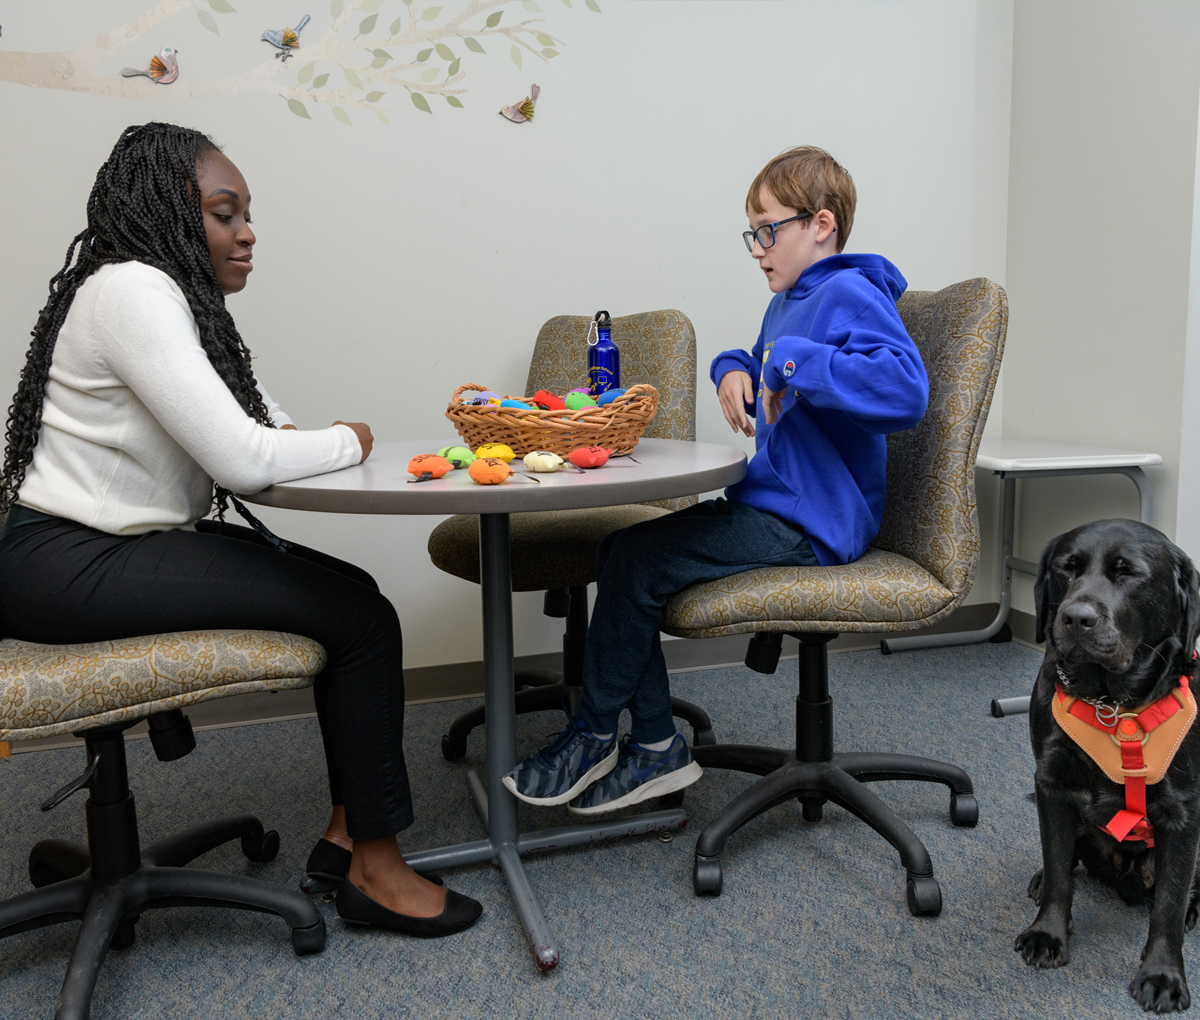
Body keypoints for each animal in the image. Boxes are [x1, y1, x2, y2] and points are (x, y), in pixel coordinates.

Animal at [1017, 520, 1200, 1012]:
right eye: (1066, 568)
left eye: (1128, 573)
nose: (1076, 618)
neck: (1114, 706)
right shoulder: (1052, 786)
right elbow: (1060, 871)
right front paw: (1048, 933)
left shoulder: (1182, 815)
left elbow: (1169, 904)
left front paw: (1162, 974)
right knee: (1066, 860)